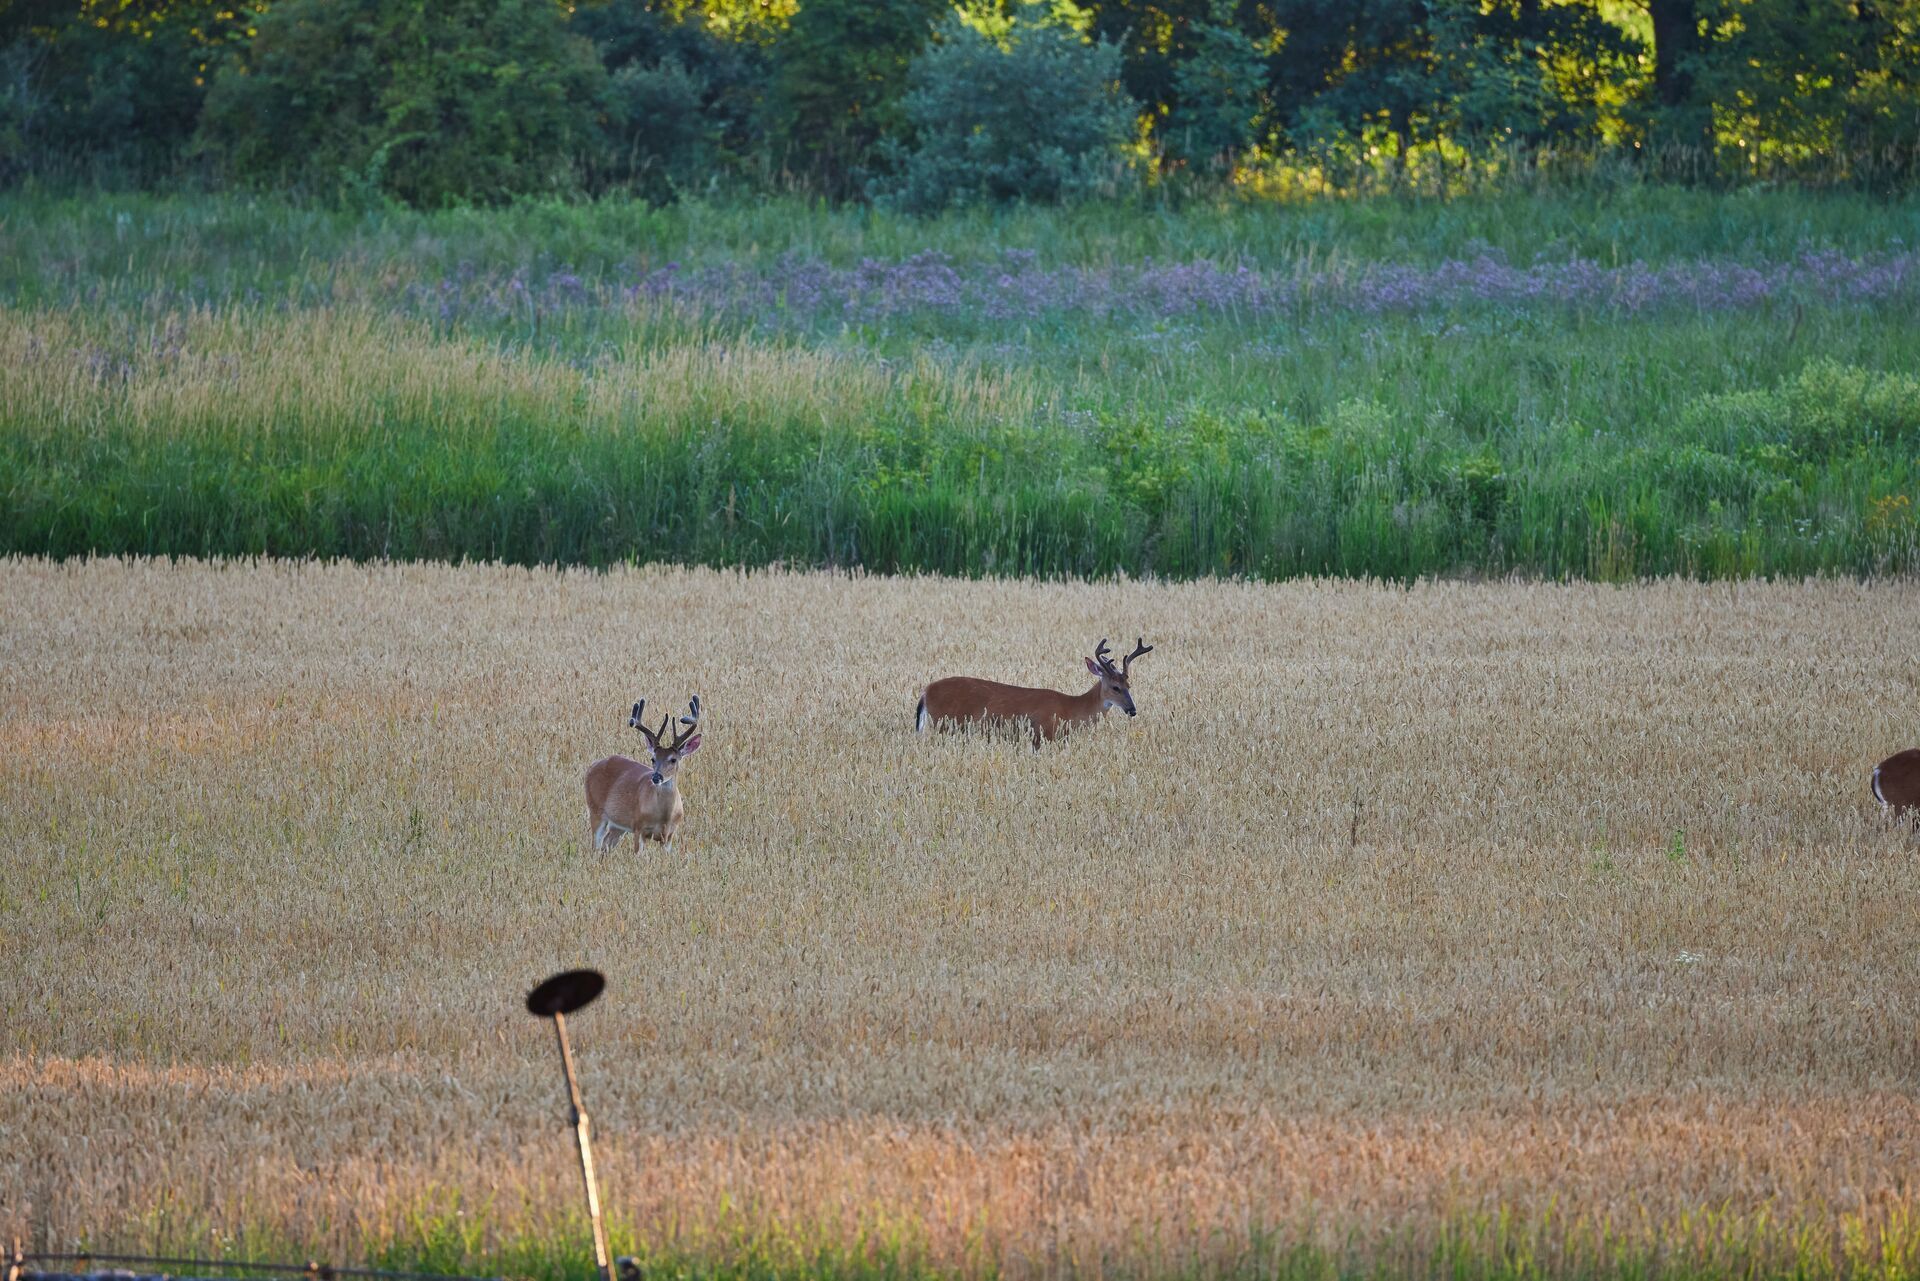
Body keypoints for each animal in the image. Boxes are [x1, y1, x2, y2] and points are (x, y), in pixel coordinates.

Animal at [585, 695, 702, 851]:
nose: (656, 777)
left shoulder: (669, 836)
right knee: (595, 846)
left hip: (618, 825)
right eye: (653, 758)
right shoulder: (639, 827)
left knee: (606, 844)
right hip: (595, 810)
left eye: (673, 760)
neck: (664, 817)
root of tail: (592, 766)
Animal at [916, 637, 1152, 746]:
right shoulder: (1042, 733)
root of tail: (925, 692)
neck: (1072, 709)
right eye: (1115, 687)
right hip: (944, 723)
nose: (1132, 710)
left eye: (1129, 685)